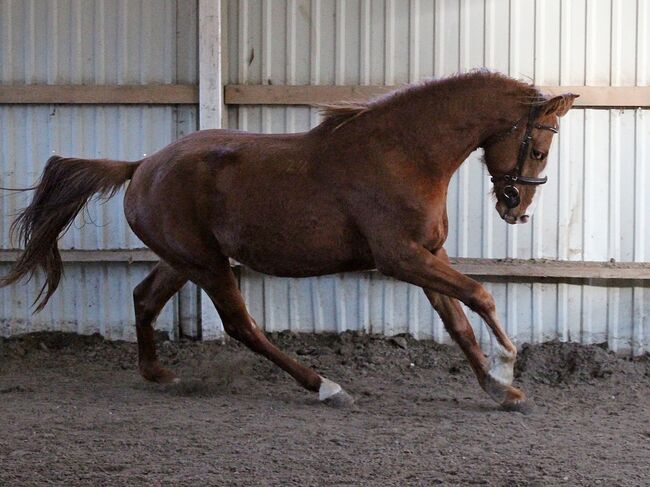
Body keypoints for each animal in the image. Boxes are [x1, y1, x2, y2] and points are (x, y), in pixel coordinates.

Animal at [1, 71, 577, 412]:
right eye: (540, 148)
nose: (516, 208)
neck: (403, 154)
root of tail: (141, 167)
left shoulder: (428, 254)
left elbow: (457, 321)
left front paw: (500, 389)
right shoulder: (401, 258)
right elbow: (480, 295)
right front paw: (508, 362)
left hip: (187, 259)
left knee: (145, 298)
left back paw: (159, 374)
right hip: (207, 265)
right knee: (241, 326)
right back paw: (325, 386)